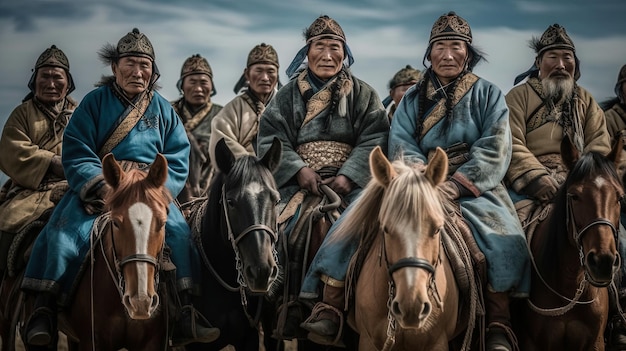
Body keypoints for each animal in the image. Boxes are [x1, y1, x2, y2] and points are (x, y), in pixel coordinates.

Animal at [516, 135, 620, 351]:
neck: (569, 283)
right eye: (574, 196)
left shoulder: (596, 342)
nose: (602, 262)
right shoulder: (531, 343)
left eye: (620, 197)